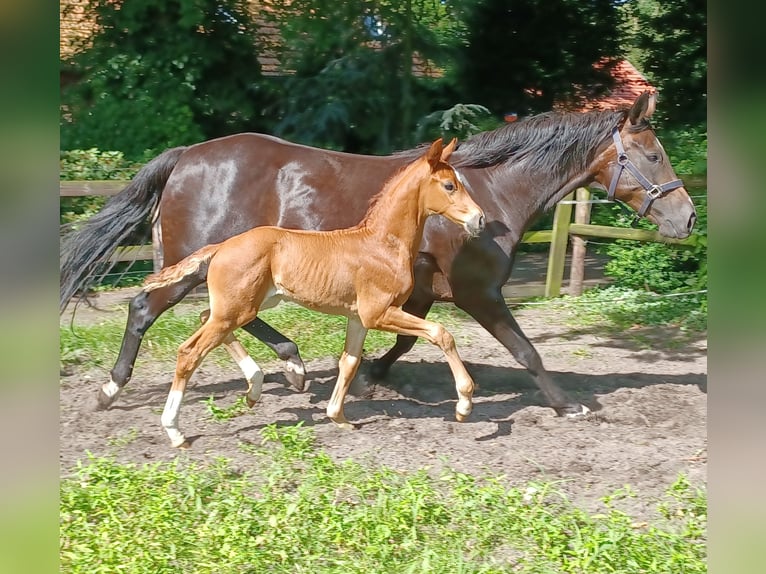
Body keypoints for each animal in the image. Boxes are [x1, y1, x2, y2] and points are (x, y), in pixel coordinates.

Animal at [60, 93, 696, 418]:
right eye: (655, 155)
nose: (687, 218)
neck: (491, 195)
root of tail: (187, 154)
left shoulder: (418, 293)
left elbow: (405, 342)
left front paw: (367, 380)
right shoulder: (480, 294)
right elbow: (527, 351)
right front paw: (567, 406)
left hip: (225, 270)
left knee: (224, 320)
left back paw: (284, 369)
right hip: (197, 266)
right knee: (147, 310)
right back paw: (114, 389)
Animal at [141, 140, 484, 450]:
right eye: (450, 185)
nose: (478, 218)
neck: (382, 244)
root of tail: (221, 246)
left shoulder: (358, 318)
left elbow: (349, 362)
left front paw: (338, 417)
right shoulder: (379, 313)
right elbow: (441, 333)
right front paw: (464, 403)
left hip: (245, 304)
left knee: (204, 317)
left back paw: (254, 388)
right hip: (236, 309)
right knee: (189, 351)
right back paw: (175, 431)